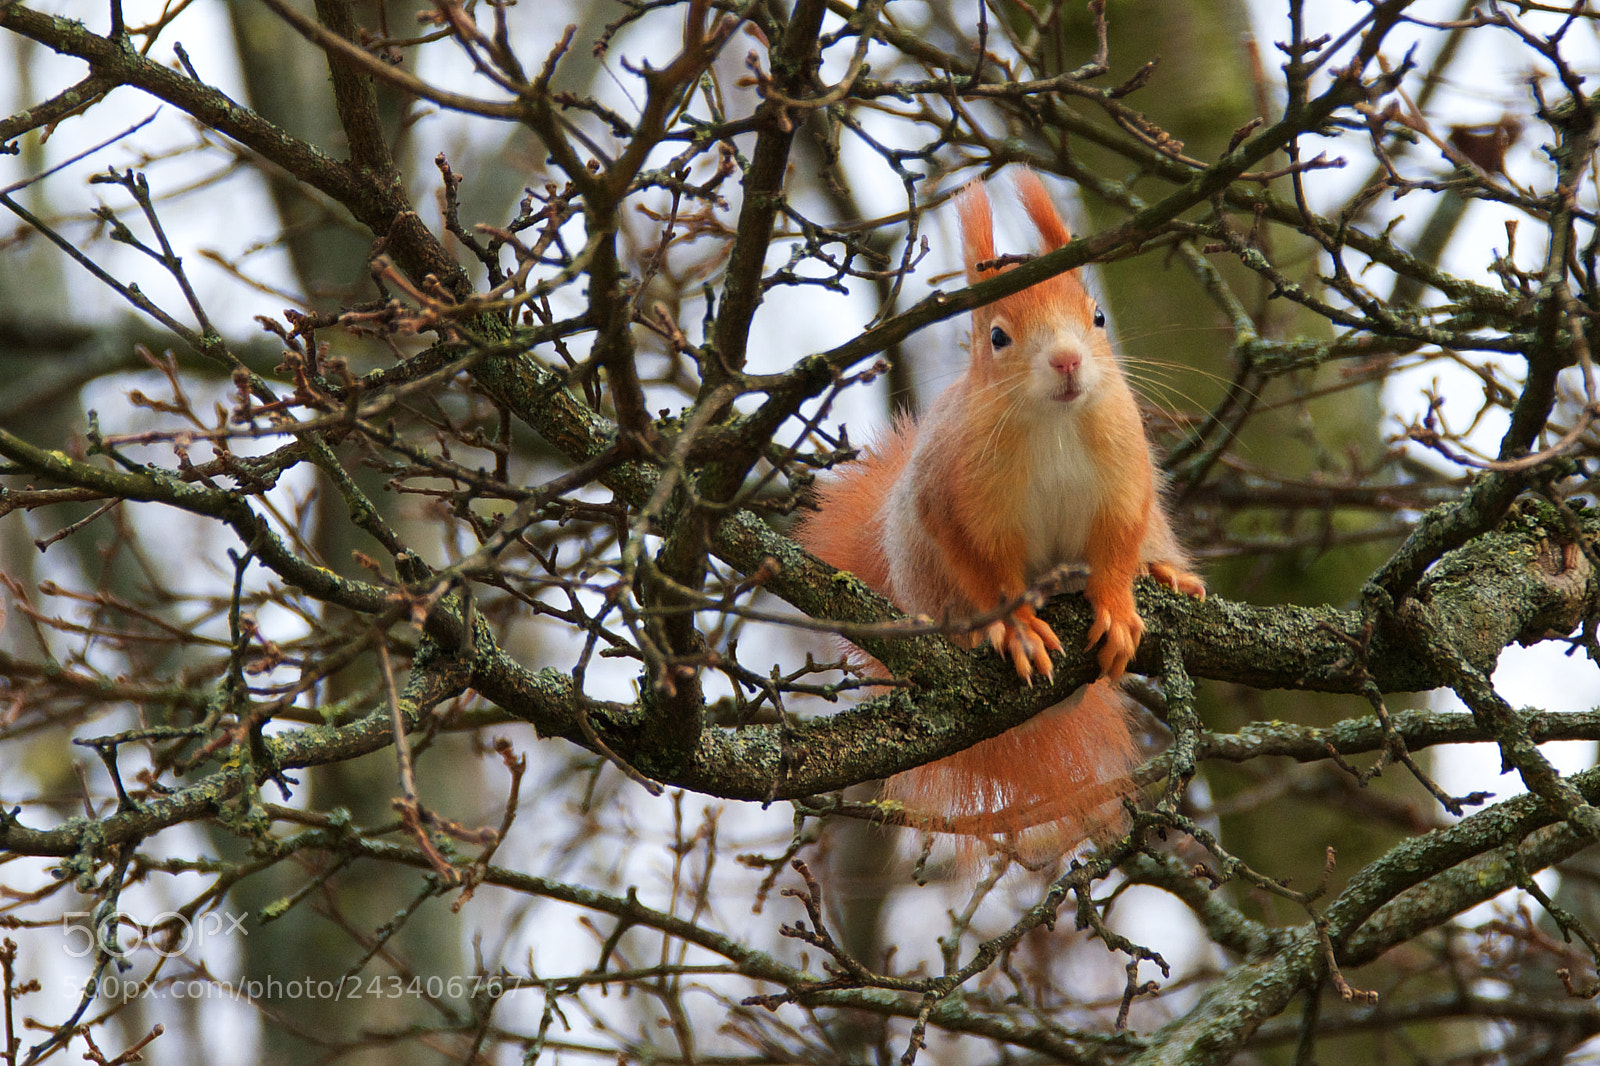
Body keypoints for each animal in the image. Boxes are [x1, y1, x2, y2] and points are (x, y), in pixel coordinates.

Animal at [797, 170, 1205, 861]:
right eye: (997, 336)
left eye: (1097, 316)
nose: (1067, 360)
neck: (1056, 425)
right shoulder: (951, 502)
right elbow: (985, 571)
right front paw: (1016, 628)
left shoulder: (1125, 484)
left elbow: (1116, 547)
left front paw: (1118, 605)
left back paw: (1166, 573)